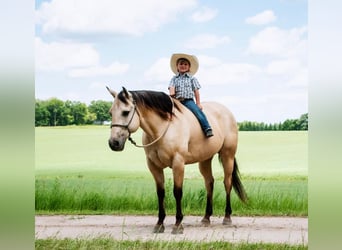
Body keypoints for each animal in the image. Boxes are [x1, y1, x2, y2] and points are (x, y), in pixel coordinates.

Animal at [106, 86, 246, 234]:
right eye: (111, 112)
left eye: (125, 112)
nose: (113, 143)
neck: (162, 129)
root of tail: (227, 112)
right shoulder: (153, 166)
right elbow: (160, 193)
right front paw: (159, 223)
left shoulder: (178, 163)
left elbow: (177, 192)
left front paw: (178, 224)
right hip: (205, 159)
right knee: (209, 183)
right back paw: (206, 218)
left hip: (227, 155)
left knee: (227, 183)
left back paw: (227, 217)